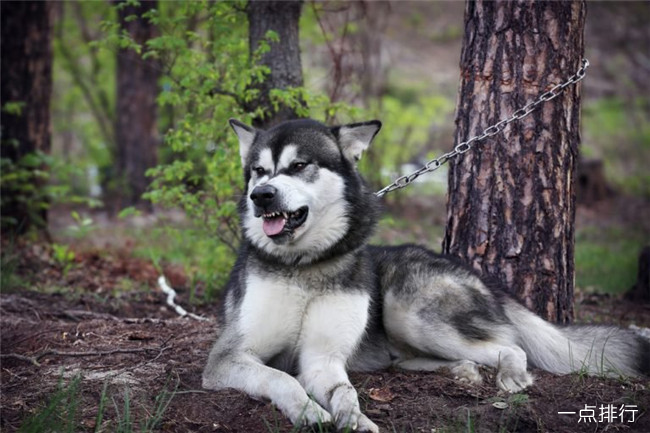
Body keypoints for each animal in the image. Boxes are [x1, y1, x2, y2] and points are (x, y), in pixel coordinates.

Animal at [201, 118, 644, 432]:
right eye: (259, 170)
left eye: (298, 166)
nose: (261, 196)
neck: (305, 265)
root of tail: (478, 276)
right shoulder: (229, 357)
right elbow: (281, 378)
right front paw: (311, 413)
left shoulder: (322, 358)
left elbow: (345, 392)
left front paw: (354, 418)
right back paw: (461, 370)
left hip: (407, 309)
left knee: (512, 347)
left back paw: (511, 375)